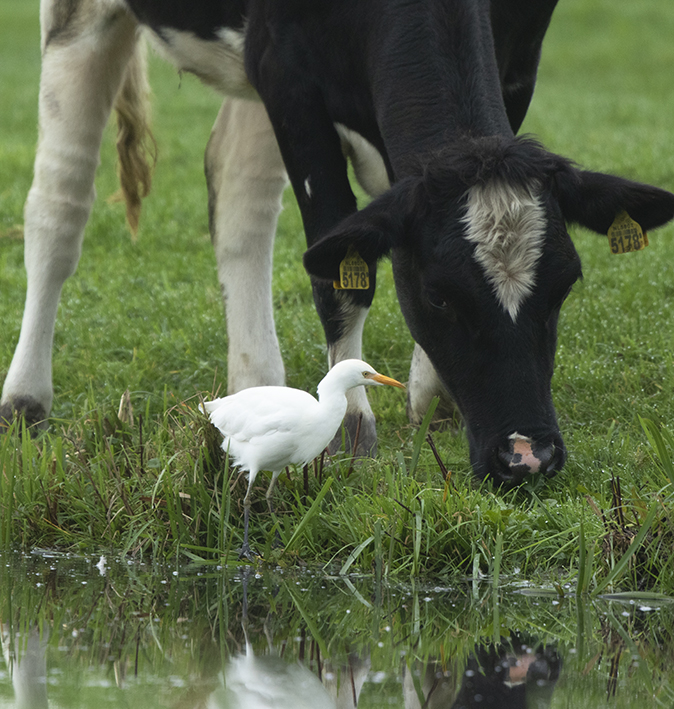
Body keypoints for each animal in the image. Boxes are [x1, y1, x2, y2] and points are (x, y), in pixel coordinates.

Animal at [1, 0, 672, 486]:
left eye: (565, 285)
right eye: (439, 296)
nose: (527, 457)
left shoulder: (518, 52)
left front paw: (431, 396)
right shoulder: (288, 77)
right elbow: (339, 270)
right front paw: (353, 424)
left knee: (239, 191)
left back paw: (255, 386)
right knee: (59, 202)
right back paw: (25, 398)